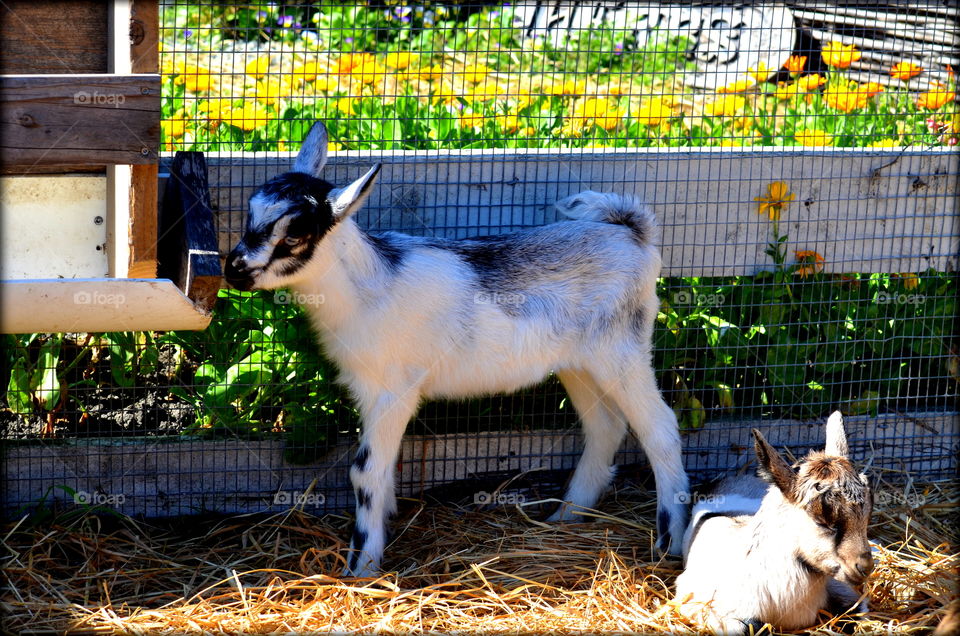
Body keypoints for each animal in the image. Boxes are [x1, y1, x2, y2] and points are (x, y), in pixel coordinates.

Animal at [225, 121, 688, 580]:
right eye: (250, 212)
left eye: (296, 233)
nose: (234, 269)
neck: (370, 286)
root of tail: (630, 231)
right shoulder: (369, 391)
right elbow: (383, 469)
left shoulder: (394, 391)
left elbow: (365, 470)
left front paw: (362, 567)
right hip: (579, 363)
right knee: (606, 426)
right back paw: (566, 515)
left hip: (622, 349)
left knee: (660, 429)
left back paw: (670, 539)